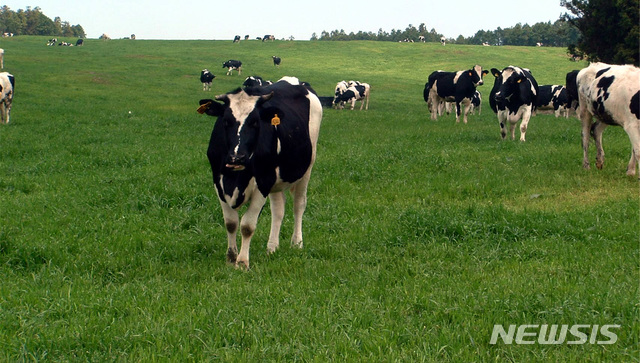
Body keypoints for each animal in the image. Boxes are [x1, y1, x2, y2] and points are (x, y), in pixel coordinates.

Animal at [196, 77, 324, 270]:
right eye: (225, 121)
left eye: (255, 122)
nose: (237, 157)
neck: (235, 179)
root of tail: (294, 81)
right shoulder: (218, 182)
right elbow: (231, 223)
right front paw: (231, 257)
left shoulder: (262, 183)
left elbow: (247, 225)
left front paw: (242, 262)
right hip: (275, 180)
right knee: (278, 209)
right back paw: (272, 247)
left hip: (306, 167)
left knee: (299, 205)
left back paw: (296, 243)